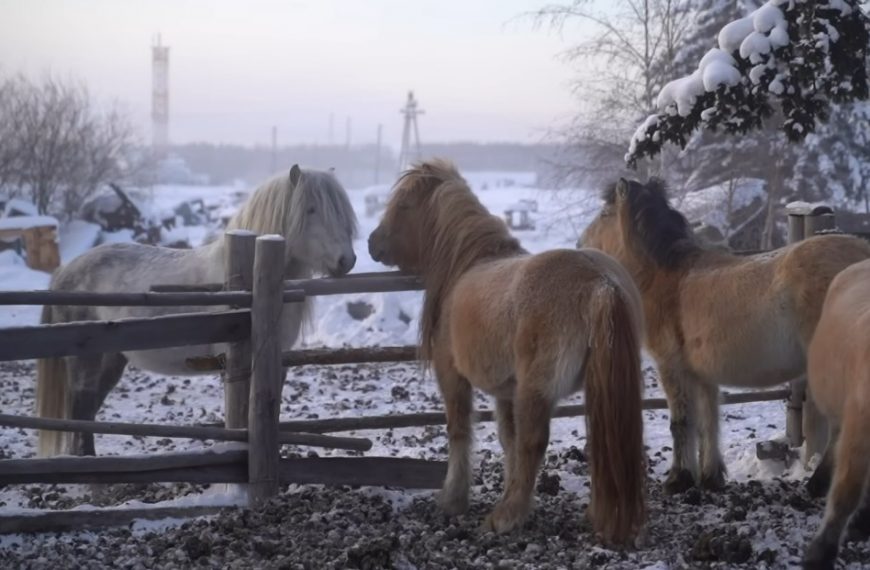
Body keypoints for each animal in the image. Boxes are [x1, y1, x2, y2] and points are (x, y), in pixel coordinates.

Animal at [37, 163, 358, 452]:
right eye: (311, 210)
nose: (347, 260)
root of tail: (64, 271)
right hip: (85, 360)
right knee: (81, 409)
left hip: (113, 358)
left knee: (88, 410)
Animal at [368, 159, 648, 540]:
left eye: (403, 206)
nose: (372, 242)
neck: (467, 263)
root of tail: (602, 284)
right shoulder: (506, 391)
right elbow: (508, 440)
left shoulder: (452, 375)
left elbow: (461, 431)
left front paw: (454, 499)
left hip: (537, 389)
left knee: (535, 443)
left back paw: (505, 518)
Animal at [584, 178, 870, 492]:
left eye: (605, 214)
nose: (581, 243)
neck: (667, 278)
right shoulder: (702, 374)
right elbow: (708, 421)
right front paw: (710, 477)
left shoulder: (671, 366)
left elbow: (681, 422)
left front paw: (678, 479)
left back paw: (818, 484)